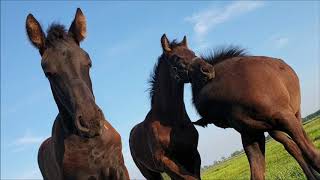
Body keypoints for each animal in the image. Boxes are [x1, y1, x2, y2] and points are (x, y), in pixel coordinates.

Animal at [129, 34, 200, 179]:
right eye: (176, 58)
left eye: (193, 53)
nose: (207, 69)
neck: (172, 121)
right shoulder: (164, 161)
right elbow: (190, 178)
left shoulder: (191, 154)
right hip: (149, 173)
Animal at [178, 47, 320, 179]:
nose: (204, 68)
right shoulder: (251, 135)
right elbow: (257, 174)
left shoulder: (286, 117)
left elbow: (313, 155)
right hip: (273, 129)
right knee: (292, 146)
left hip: (295, 114)